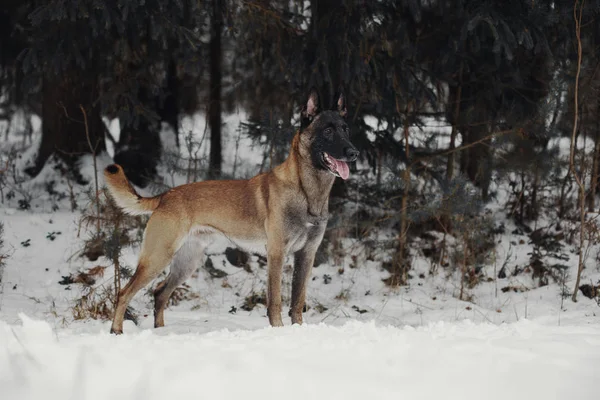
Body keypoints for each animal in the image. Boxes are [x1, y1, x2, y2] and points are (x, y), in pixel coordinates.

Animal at [104, 88, 356, 334]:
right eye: (328, 131)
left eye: (346, 129)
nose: (354, 152)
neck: (306, 192)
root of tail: (166, 195)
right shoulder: (277, 254)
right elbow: (275, 301)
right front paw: (278, 330)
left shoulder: (306, 254)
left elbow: (298, 300)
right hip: (158, 257)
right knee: (124, 292)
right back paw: (116, 330)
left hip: (186, 263)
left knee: (159, 292)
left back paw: (160, 333)